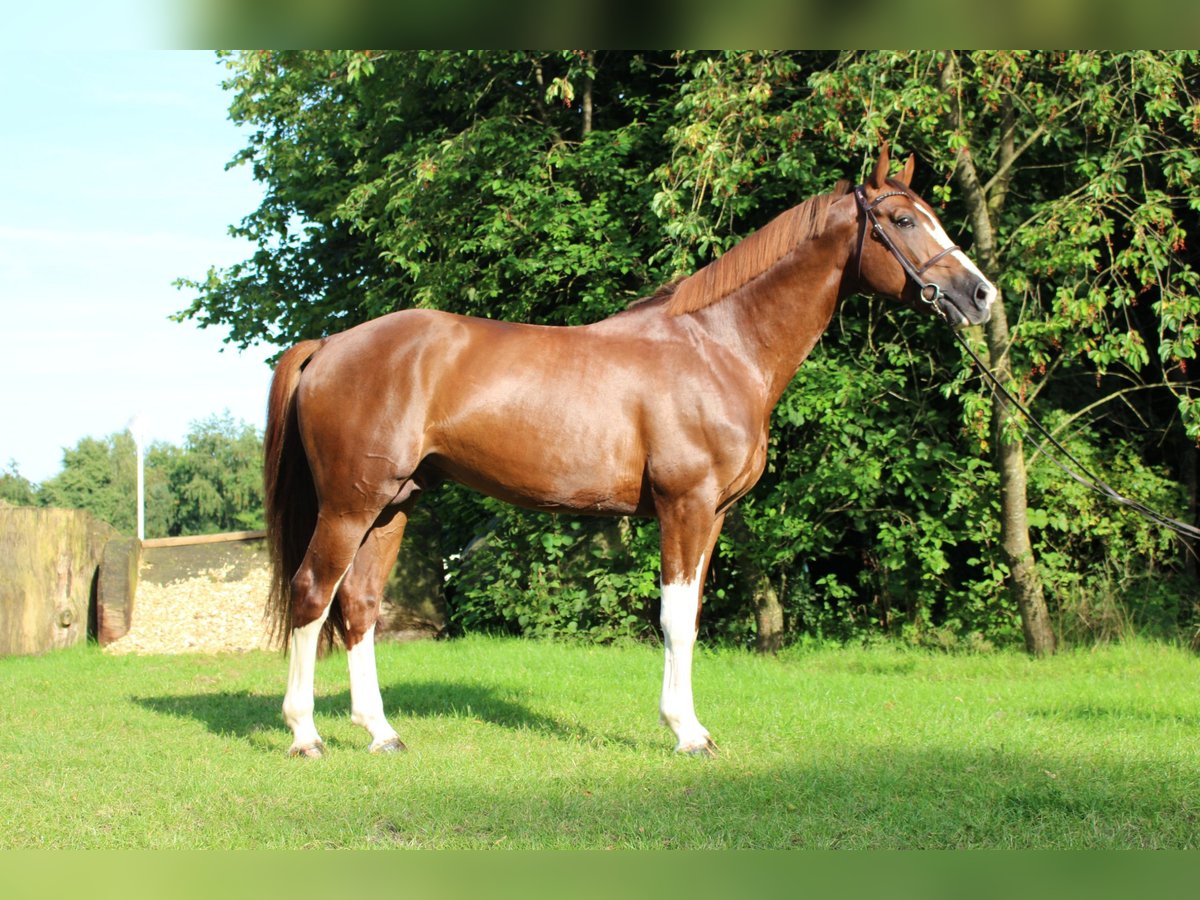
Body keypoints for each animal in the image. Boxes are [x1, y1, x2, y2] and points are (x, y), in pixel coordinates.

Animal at [267, 144, 998, 758]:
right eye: (902, 220)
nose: (981, 295)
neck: (718, 346)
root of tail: (330, 344)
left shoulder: (714, 516)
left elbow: (692, 618)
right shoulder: (685, 506)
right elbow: (674, 619)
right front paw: (687, 733)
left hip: (392, 506)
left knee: (359, 606)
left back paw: (381, 733)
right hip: (349, 506)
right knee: (312, 594)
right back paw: (305, 735)